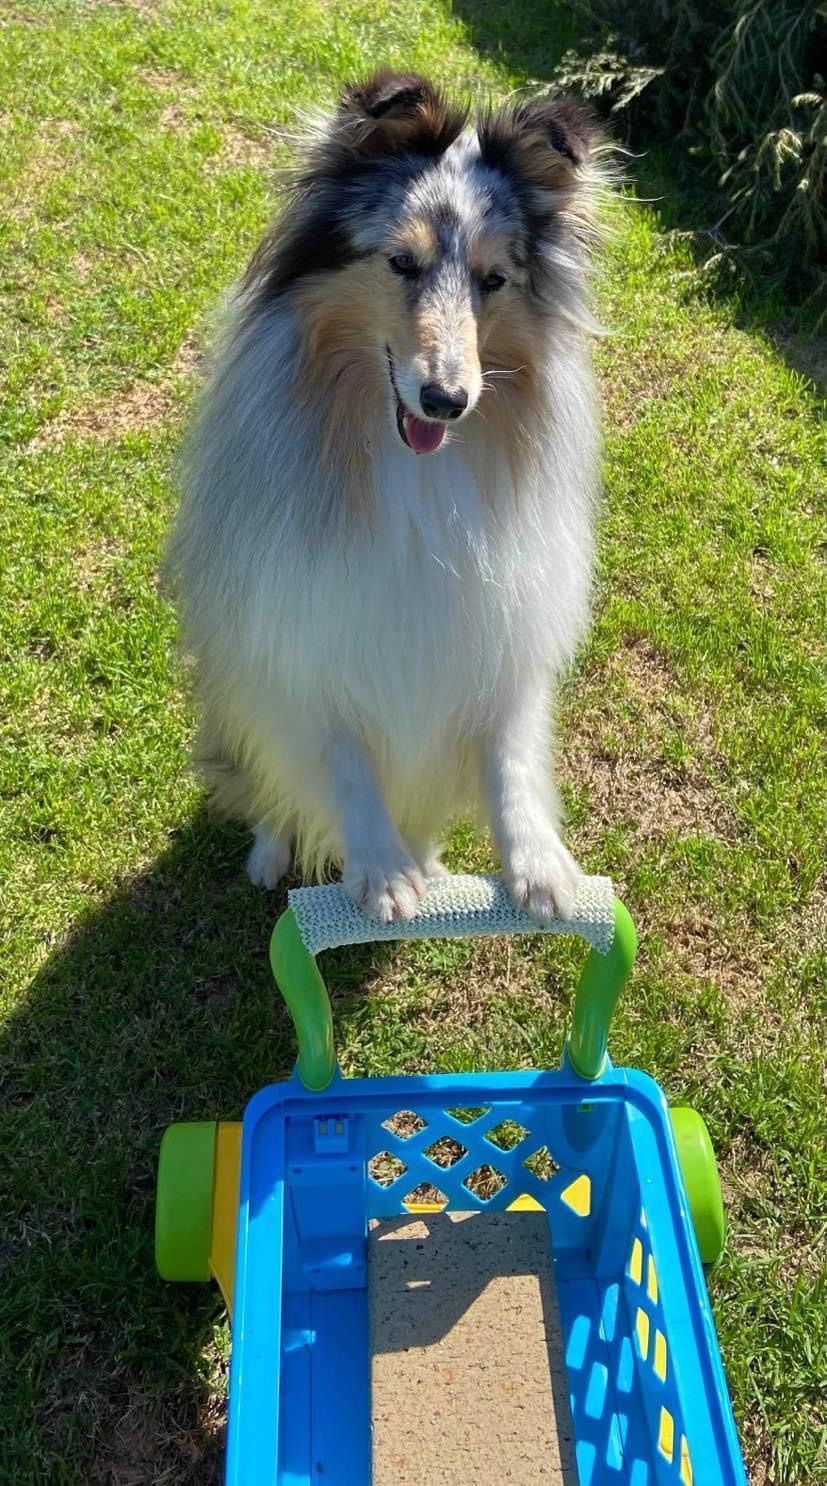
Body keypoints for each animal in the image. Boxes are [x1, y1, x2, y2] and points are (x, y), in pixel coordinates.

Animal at [169, 75, 605, 921]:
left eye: (493, 280)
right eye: (401, 262)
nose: (446, 401)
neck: (416, 472)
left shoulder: (502, 632)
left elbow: (508, 756)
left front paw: (539, 864)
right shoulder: (302, 633)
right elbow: (339, 758)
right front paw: (380, 869)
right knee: (269, 789)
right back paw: (276, 853)